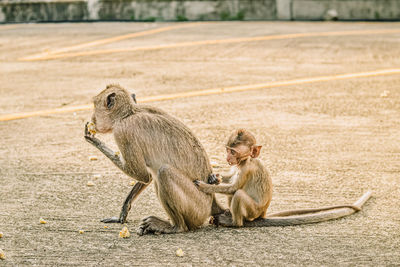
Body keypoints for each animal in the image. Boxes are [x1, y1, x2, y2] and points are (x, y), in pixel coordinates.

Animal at [84, 85, 222, 236]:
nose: (92, 118)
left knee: (164, 172)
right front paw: (123, 212)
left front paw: (93, 140)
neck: (128, 114)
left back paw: (177, 226)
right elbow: (148, 177)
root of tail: (212, 203)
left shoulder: (123, 132)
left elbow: (141, 174)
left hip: (198, 208)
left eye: (95, 107)